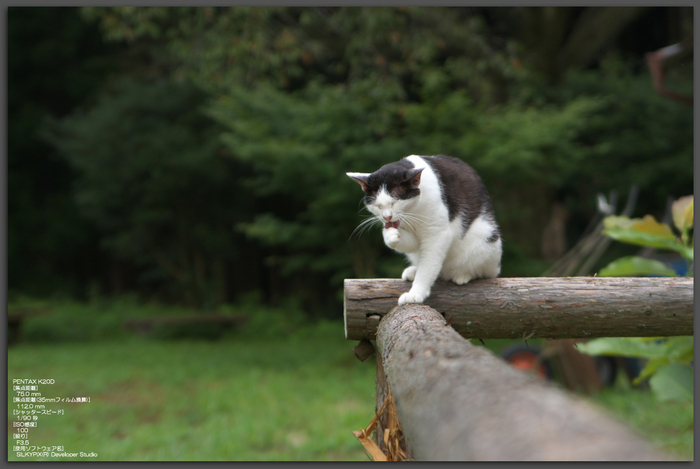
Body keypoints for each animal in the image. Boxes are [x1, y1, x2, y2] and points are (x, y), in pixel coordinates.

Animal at [348, 155, 500, 306]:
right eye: (378, 206)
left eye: (395, 202)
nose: (387, 217)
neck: (412, 210)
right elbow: (412, 243)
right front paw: (390, 235)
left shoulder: (437, 233)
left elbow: (428, 267)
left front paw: (416, 293)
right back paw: (414, 271)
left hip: (484, 239)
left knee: (484, 270)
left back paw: (463, 274)